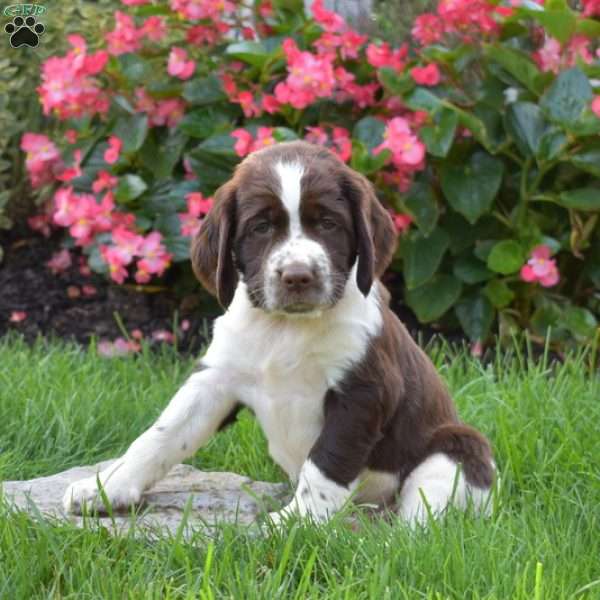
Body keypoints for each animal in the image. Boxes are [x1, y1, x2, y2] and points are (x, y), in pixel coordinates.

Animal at [63, 141, 496, 524]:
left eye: (328, 223)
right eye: (260, 227)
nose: (298, 276)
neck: (284, 328)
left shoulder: (363, 392)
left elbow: (326, 461)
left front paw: (298, 521)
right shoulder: (216, 380)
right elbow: (162, 435)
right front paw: (105, 486)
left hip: (457, 449)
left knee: (418, 524)